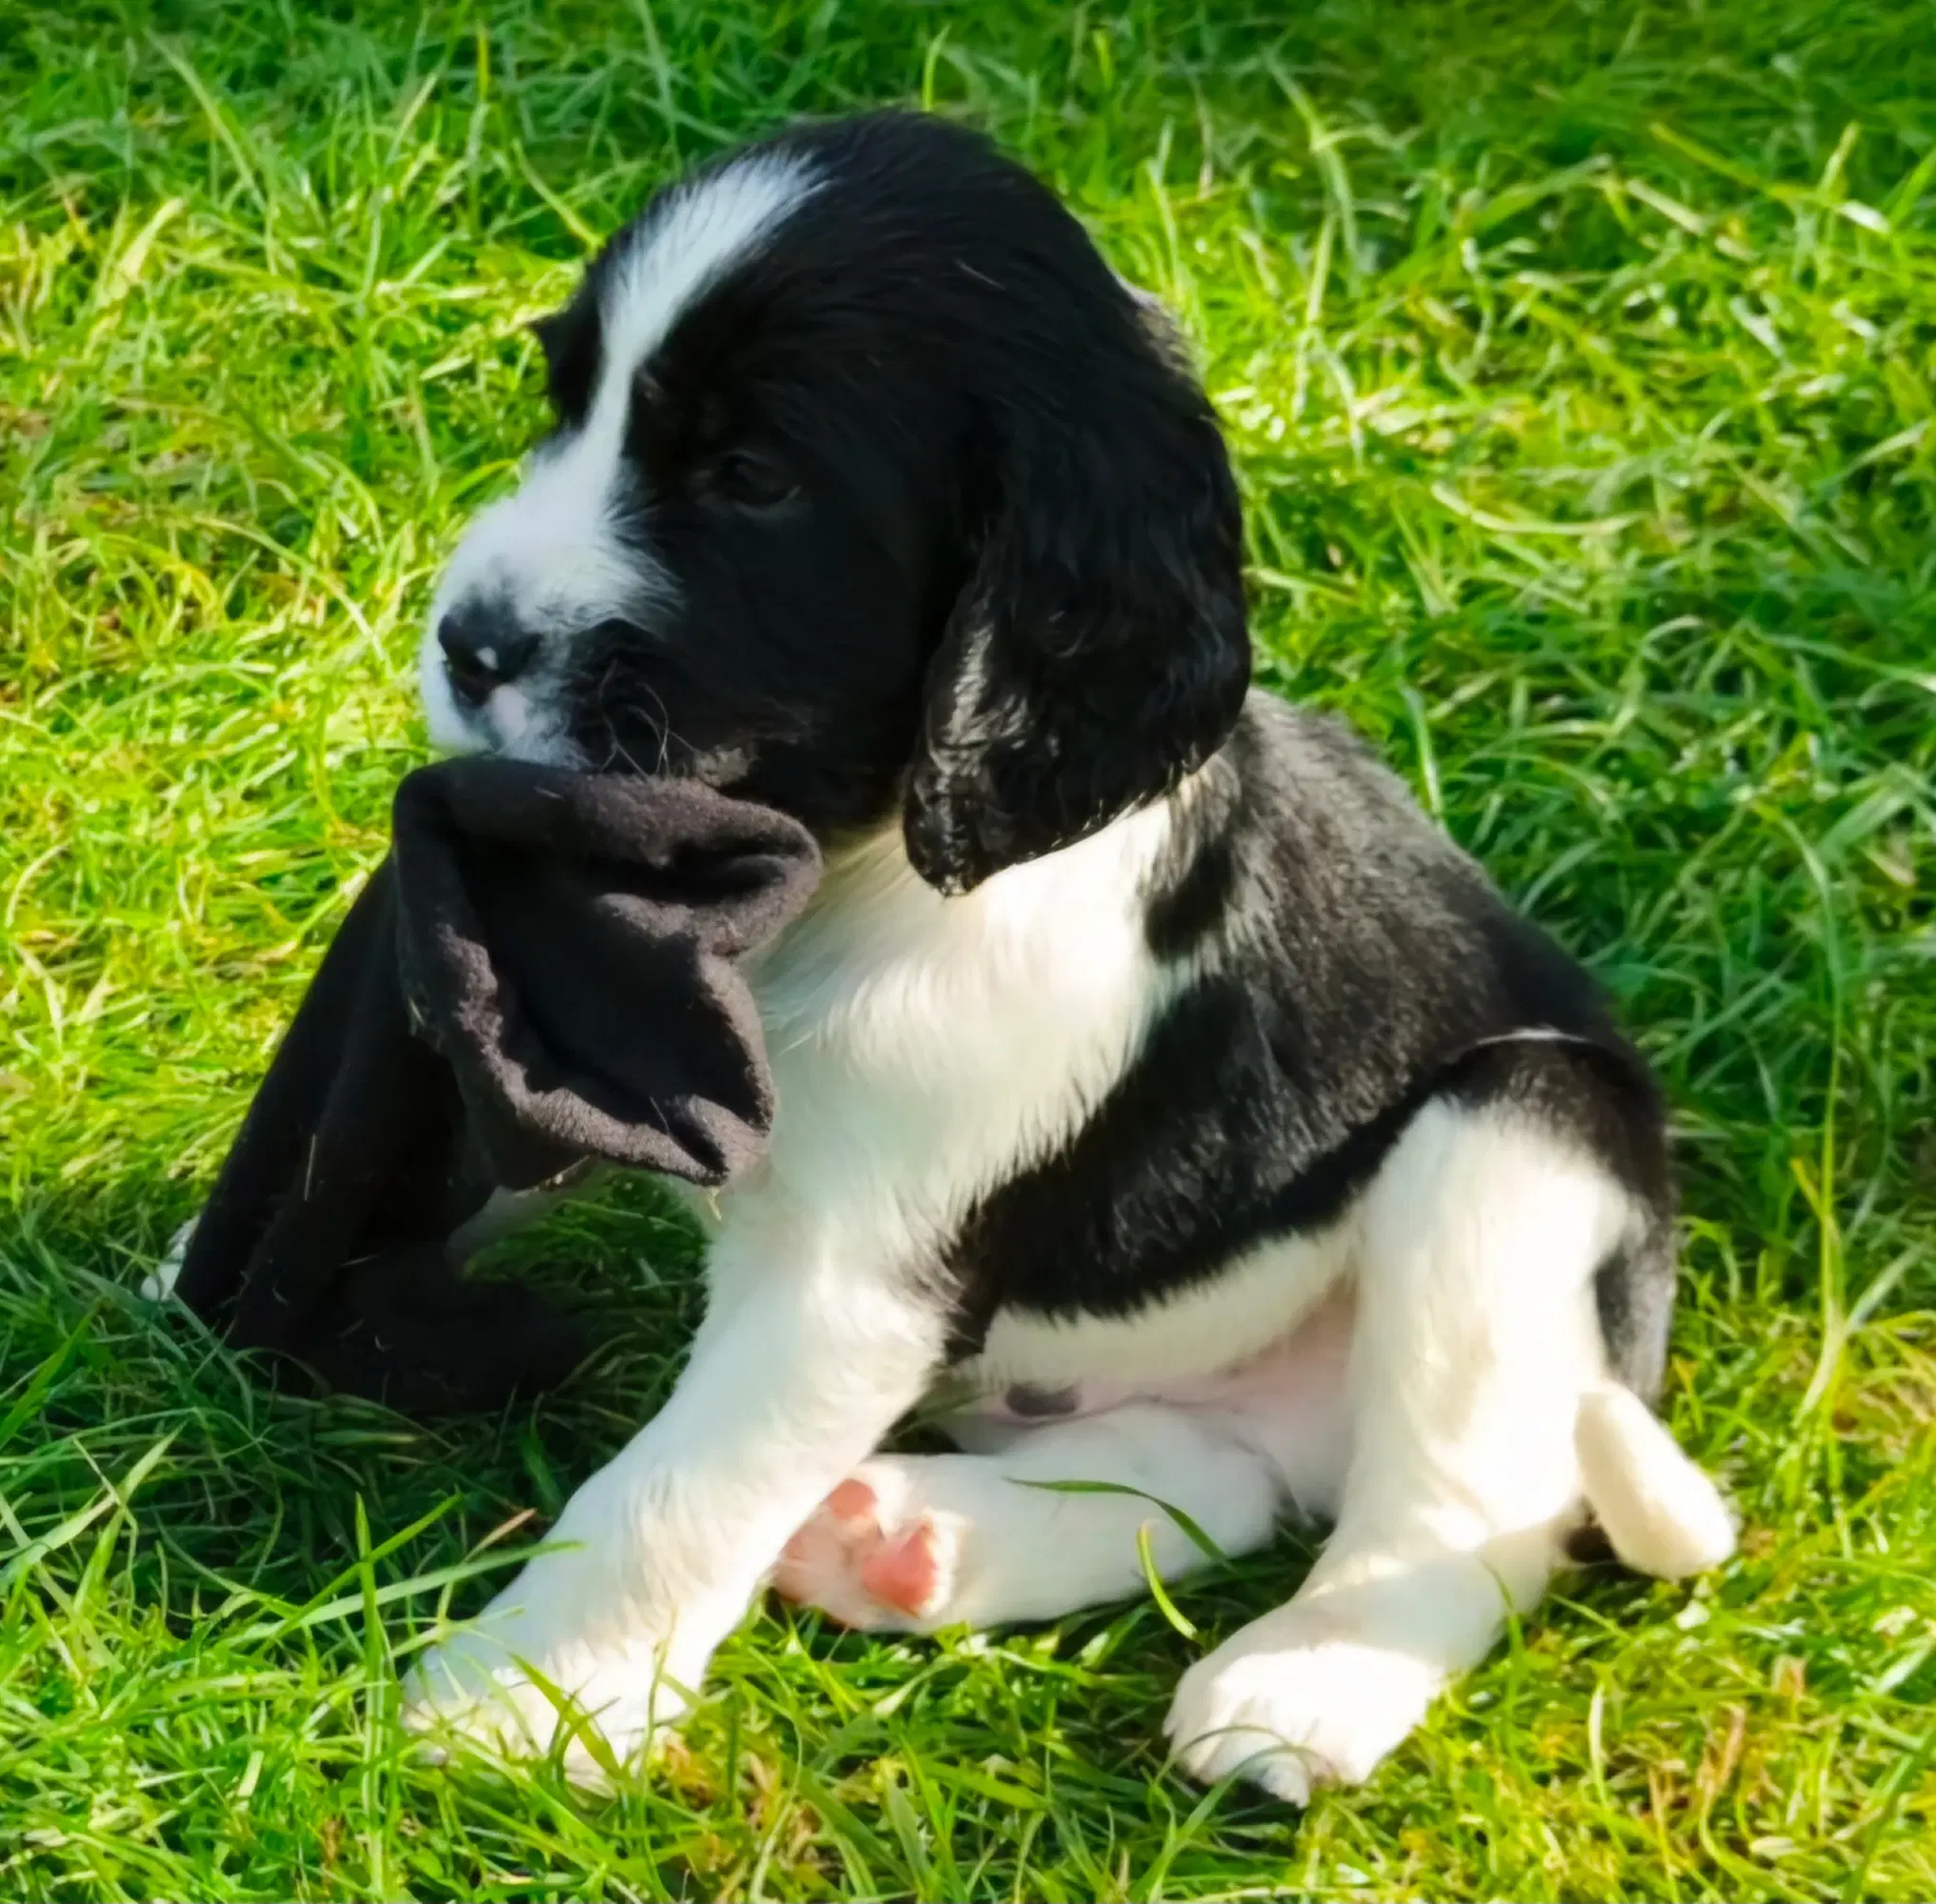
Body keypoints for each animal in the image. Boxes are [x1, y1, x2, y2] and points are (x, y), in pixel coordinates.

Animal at [400, 111, 1734, 1813]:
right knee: (1219, 1475)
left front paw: (517, 1705)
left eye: (752, 478)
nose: (470, 641)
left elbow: (676, 1482)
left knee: (1473, 1507)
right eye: (563, 402)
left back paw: (1305, 1685)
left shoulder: (845, 1277)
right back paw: (910, 1540)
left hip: (1516, 1135)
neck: (855, 876)